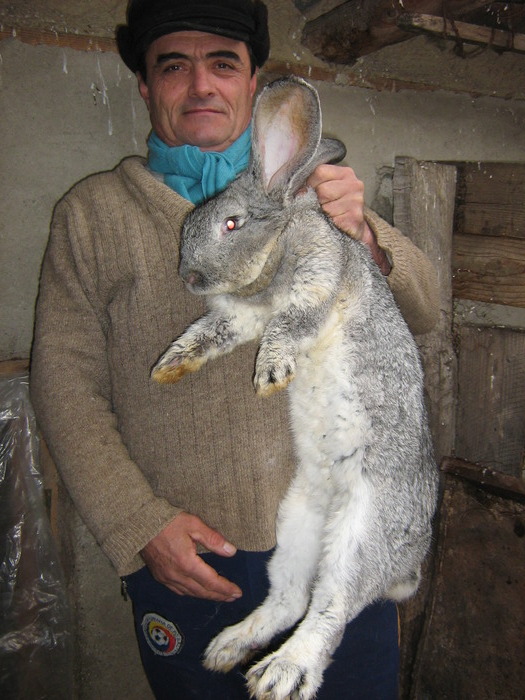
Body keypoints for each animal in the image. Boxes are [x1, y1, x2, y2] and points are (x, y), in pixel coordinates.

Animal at [152, 76, 438, 700]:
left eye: (231, 224)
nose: (189, 277)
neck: (274, 250)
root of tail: (410, 561)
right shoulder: (238, 320)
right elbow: (210, 334)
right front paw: (166, 367)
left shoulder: (318, 279)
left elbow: (290, 325)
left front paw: (270, 375)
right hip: (295, 530)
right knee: (288, 601)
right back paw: (226, 648)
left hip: (361, 534)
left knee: (329, 611)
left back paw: (281, 674)